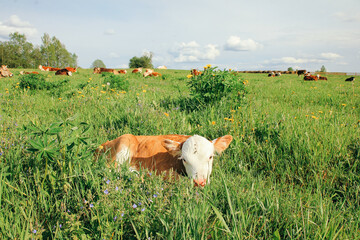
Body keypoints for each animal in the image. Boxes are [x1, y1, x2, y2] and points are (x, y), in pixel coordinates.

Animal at [95, 134, 232, 187]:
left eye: (210, 157)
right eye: (184, 159)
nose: (199, 182)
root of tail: (101, 145)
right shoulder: (160, 169)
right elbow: (178, 179)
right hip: (125, 141)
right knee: (110, 169)